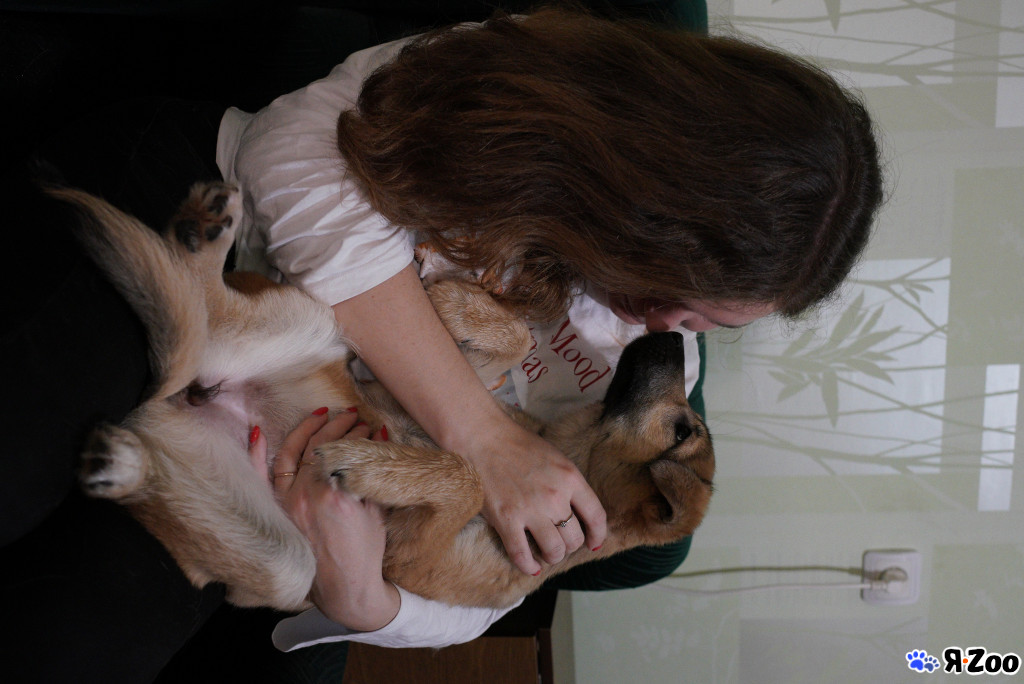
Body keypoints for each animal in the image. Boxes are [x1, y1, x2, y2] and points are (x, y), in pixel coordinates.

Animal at [56, 181, 714, 611]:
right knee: (206, 300)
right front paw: (455, 304)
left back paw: (119, 464)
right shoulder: (447, 391)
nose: (677, 337)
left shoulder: (405, 555)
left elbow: (466, 476)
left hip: (288, 566)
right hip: (318, 321)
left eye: (685, 429)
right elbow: (511, 342)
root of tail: (173, 406)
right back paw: (204, 235)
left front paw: (371, 466)